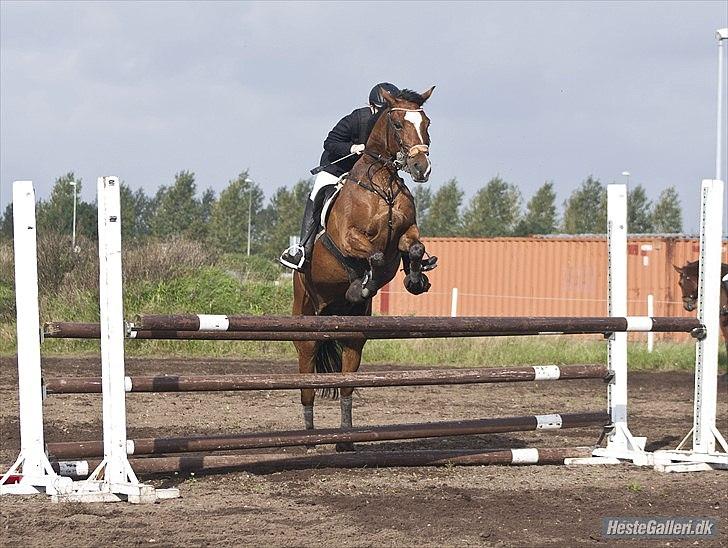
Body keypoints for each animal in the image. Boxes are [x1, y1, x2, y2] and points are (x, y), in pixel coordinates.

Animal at [292, 86, 436, 451]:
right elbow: (372, 257)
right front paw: (363, 284)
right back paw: (309, 439)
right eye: (397, 124)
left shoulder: (405, 234)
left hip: (354, 338)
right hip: (306, 326)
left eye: (426, 122)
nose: (421, 167)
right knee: (307, 384)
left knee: (346, 384)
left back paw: (345, 440)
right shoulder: (347, 238)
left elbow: (413, 248)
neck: (382, 186)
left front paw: (416, 279)